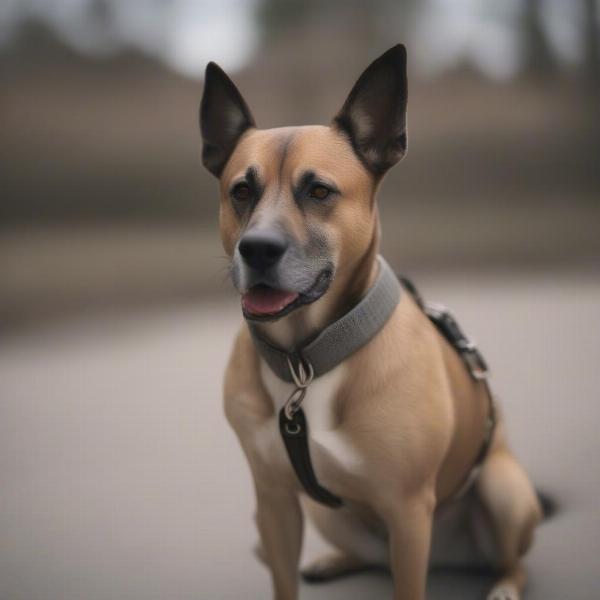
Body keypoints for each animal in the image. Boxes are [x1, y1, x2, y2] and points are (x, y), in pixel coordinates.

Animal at [202, 44, 544, 596]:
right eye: (241, 191)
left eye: (319, 192)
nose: (257, 249)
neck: (306, 361)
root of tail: (450, 558)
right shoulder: (274, 501)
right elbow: (282, 582)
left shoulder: (408, 512)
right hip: (324, 514)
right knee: (371, 556)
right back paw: (333, 561)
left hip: (502, 490)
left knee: (512, 560)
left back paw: (505, 585)